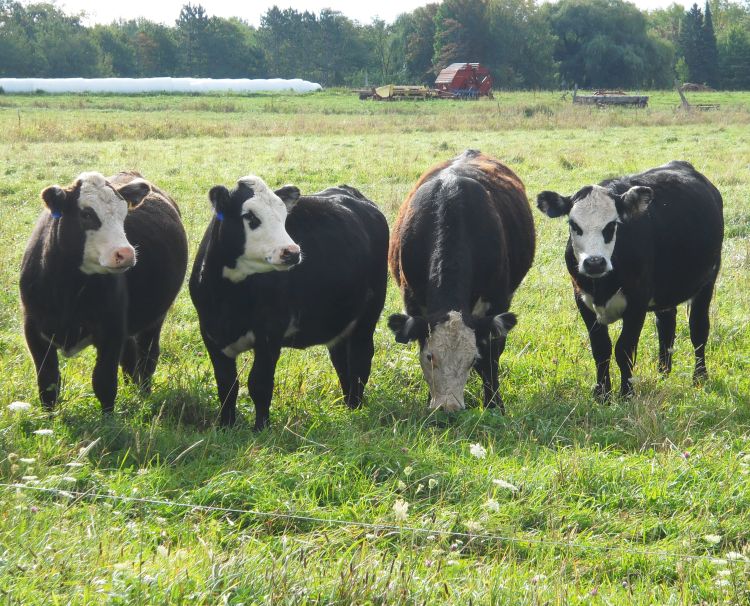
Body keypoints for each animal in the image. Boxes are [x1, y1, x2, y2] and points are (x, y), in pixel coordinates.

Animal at [20, 171, 188, 413]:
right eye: (86, 214)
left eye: (124, 214)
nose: (125, 253)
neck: (67, 289)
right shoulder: (33, 329)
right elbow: (48, 384)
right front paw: (46, 419)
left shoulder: (111, 330)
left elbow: (104, 382)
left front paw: (108, 419)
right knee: (130, 358)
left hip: (155, 318)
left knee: (147, 357)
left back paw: (143, 395)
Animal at [189, 176, 388, 430]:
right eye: (250, 216)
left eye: (284, 217)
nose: (291, 252)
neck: (228, 298)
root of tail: (349, 192)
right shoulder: (210, 333)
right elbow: (226, 385)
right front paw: (226, 426)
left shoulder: (270, 332)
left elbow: (259, 383)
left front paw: (261, 429)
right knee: (342, 361)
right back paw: (349, 405)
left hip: (369, 314)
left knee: (360, 358)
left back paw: (356, 408)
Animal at [387, 149, 536, 413]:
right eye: (430, 357)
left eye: (471, 359)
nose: (448, 408)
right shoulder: (413, 302)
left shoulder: (496, 303)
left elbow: (491, 358)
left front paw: (494, 404)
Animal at [536, 160, 724, 398]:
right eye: (574, 225)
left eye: (612, 225)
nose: (594, 262)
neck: (602, 285)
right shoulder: (582, 300)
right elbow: (601, 349)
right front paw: (602, 394)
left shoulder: (637, 302)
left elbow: (624, 349)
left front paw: (626, 394)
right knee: (666, 323)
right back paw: (663, 373)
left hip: (707, 280)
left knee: (698, 328)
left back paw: (699, 377)